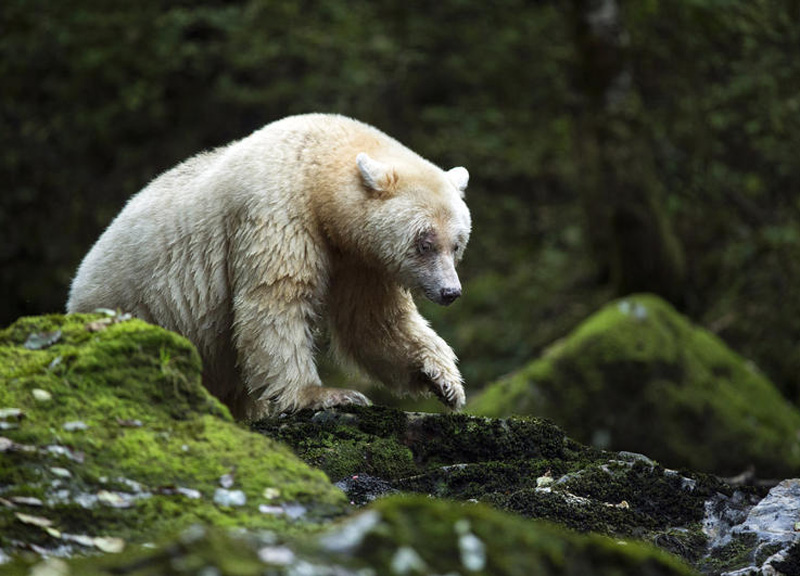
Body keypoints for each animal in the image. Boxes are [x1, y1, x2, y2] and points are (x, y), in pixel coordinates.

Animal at [67, 113, 471, 418]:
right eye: (424, 242)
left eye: (457, 243)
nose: (451, 292)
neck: (317, 167)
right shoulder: (277, 212)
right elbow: (277, 300)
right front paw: (326, 395)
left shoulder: (359, 259)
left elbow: (372, 321)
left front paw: (444, 380)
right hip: (138, 306)